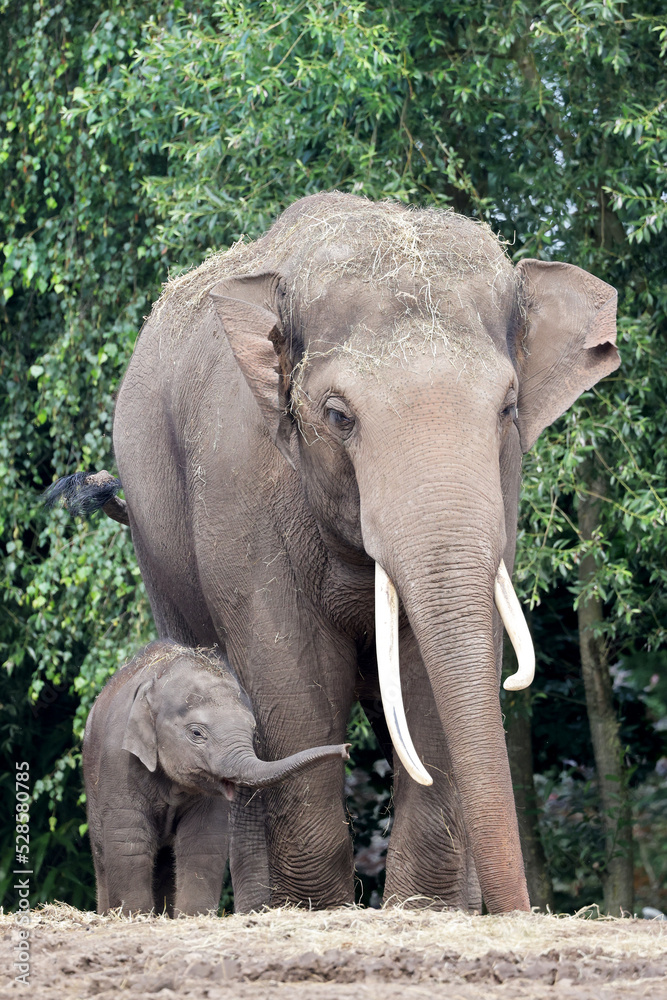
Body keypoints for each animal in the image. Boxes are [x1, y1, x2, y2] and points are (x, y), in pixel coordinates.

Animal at [83, 639, 350, 916]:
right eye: (196, 733)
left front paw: (192, 916)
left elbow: (203, 839)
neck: (162, 672)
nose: (347, 749)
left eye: (253, 730)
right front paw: (134, 916)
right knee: (103, 853)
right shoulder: (119, 759)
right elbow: (128, 838)